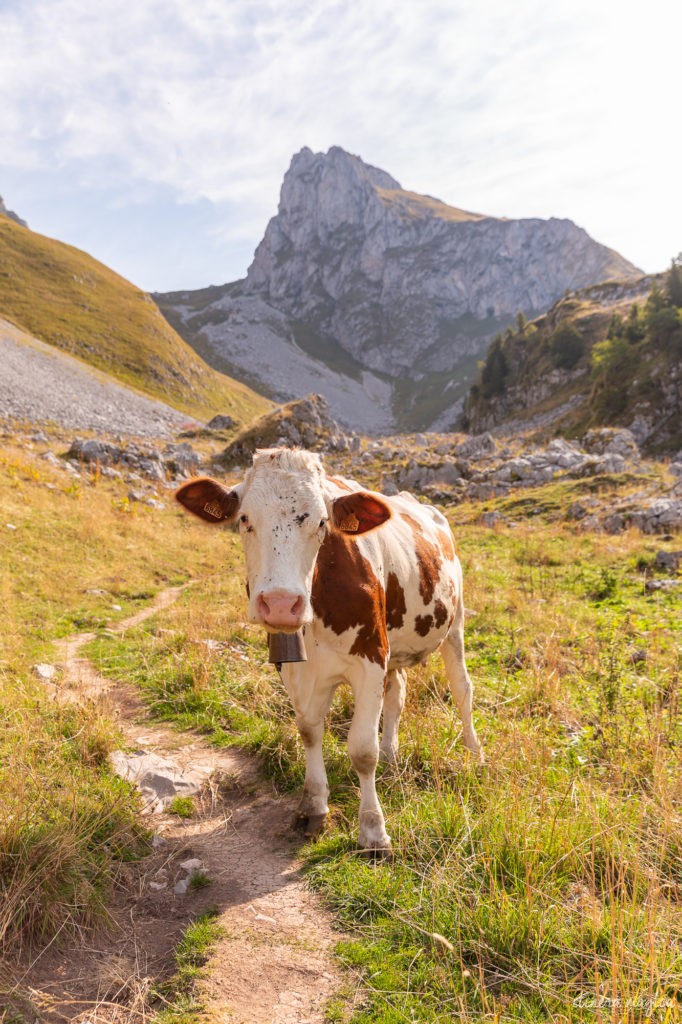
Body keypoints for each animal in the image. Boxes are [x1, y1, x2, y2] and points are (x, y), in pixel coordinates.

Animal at [176, 444, 483, 851]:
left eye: (322, 523)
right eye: (244, 519)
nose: (280, 603)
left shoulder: (370, 658)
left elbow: (362, 749)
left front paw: (373, 830)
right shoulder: (296, 668)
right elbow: (309, 730)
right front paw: (314, 806)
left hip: (454, 622)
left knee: (462, 688)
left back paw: (474, 751)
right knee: (397, 693)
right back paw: (392, 756)